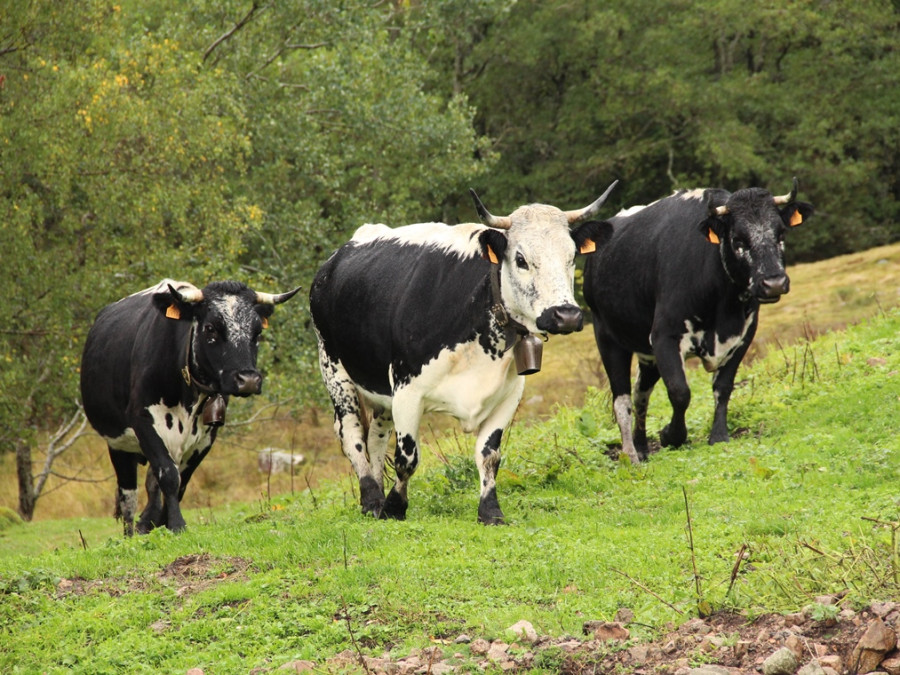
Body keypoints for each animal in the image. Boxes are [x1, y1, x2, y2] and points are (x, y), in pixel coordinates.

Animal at [81, 278, 298, 536]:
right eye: (211, 328)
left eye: (258, 331)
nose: (248, 380)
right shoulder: (144, 422)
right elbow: (169, 475)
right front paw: (176, 524)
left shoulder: (206, 436)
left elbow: (181, 481)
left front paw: (163, 521)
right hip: (118, 444)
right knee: (128, 496)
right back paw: (130, 534)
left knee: (151, 485)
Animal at [312, 185, 620, 528]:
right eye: (521, 259)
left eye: (572, 256)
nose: (566, 315)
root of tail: (334, 261)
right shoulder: (407, 390)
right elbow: (407, 458)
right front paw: (394, 507)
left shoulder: (509, 394)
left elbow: (489, 454)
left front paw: (490, 510)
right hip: (334, 370)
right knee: (351, 434)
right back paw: (372, 498)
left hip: (378, 388)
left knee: (377, 436)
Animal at [584, 180, 816, 464]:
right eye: (738, 240)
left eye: (781, 233)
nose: (774, 283)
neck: (723, 309)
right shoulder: (664, 336)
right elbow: (680, 391)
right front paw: (671, 436)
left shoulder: (744, 335)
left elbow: (723, 386)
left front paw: (718, 435)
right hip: (608, 339)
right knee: (622, 400)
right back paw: (632, 453)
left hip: (646, 354)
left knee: (641, 393)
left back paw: (641, 445)